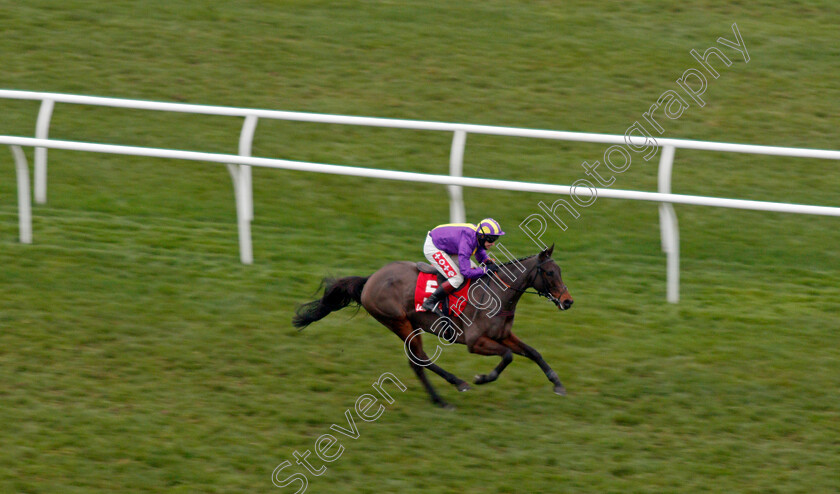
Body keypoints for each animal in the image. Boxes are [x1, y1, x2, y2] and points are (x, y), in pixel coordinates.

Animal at [292, 244, 576, 410]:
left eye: (561, 271)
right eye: (550, 273)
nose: (568, 301)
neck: (498, 294)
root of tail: (370, 279)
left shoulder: (504, 335)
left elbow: (533, 352)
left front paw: (558, 384)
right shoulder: (475, 342)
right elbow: (507, 357)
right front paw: (482, 378)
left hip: (410, 325)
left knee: (417, 361)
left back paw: (445, 392)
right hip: (400, 322)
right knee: (419, 361)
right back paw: (450, 391)